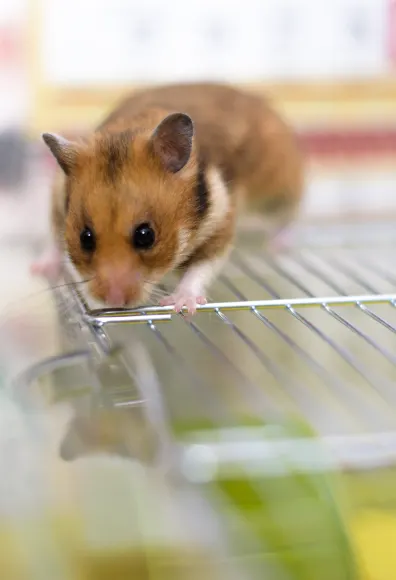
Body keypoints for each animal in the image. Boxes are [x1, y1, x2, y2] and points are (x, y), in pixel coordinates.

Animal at [33, 82, 304, 312]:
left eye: (146, 235)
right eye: (85, 238)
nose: (114, 302)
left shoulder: (221, 224)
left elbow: (201, 267)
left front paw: (180, 305)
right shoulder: (57, 199)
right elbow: (54, 239)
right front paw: (40, 269)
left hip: (278, 189)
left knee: (290, 214)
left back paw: (277, 244)